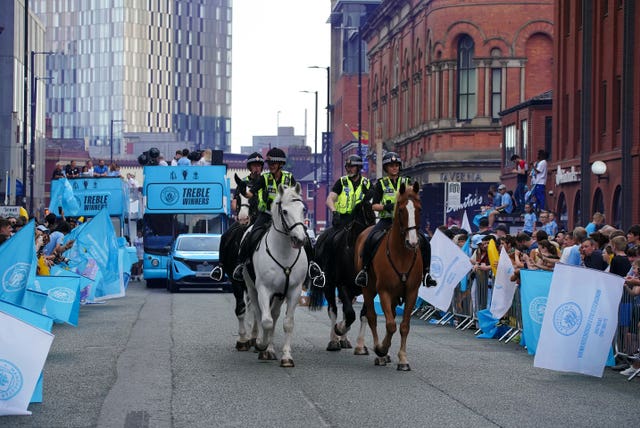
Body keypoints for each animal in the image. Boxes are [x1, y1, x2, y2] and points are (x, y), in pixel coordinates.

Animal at [242, 182, 308, 366]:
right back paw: (261, 345)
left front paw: (286, 357)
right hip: (252, 288)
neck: (284, 252)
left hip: (280, 294)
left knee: (275, 314)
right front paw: (261, 344)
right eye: (284, 211)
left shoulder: (294, 291)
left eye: (303, 209)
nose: (300, 239)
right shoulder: (264, 289)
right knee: (259, 313)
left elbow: (287, 323)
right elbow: (266, 321)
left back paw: (270, 350)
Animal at [352, 181, 422, 372]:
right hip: (368, 289)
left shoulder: (411, 293)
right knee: (371, 317)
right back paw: (380, 353)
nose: (412, 242)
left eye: (419, 209)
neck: (402, 254)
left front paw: (403, 359)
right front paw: (381, 349)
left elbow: (404, 326)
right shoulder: (384, 291)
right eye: (401, 210)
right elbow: (390, 324)